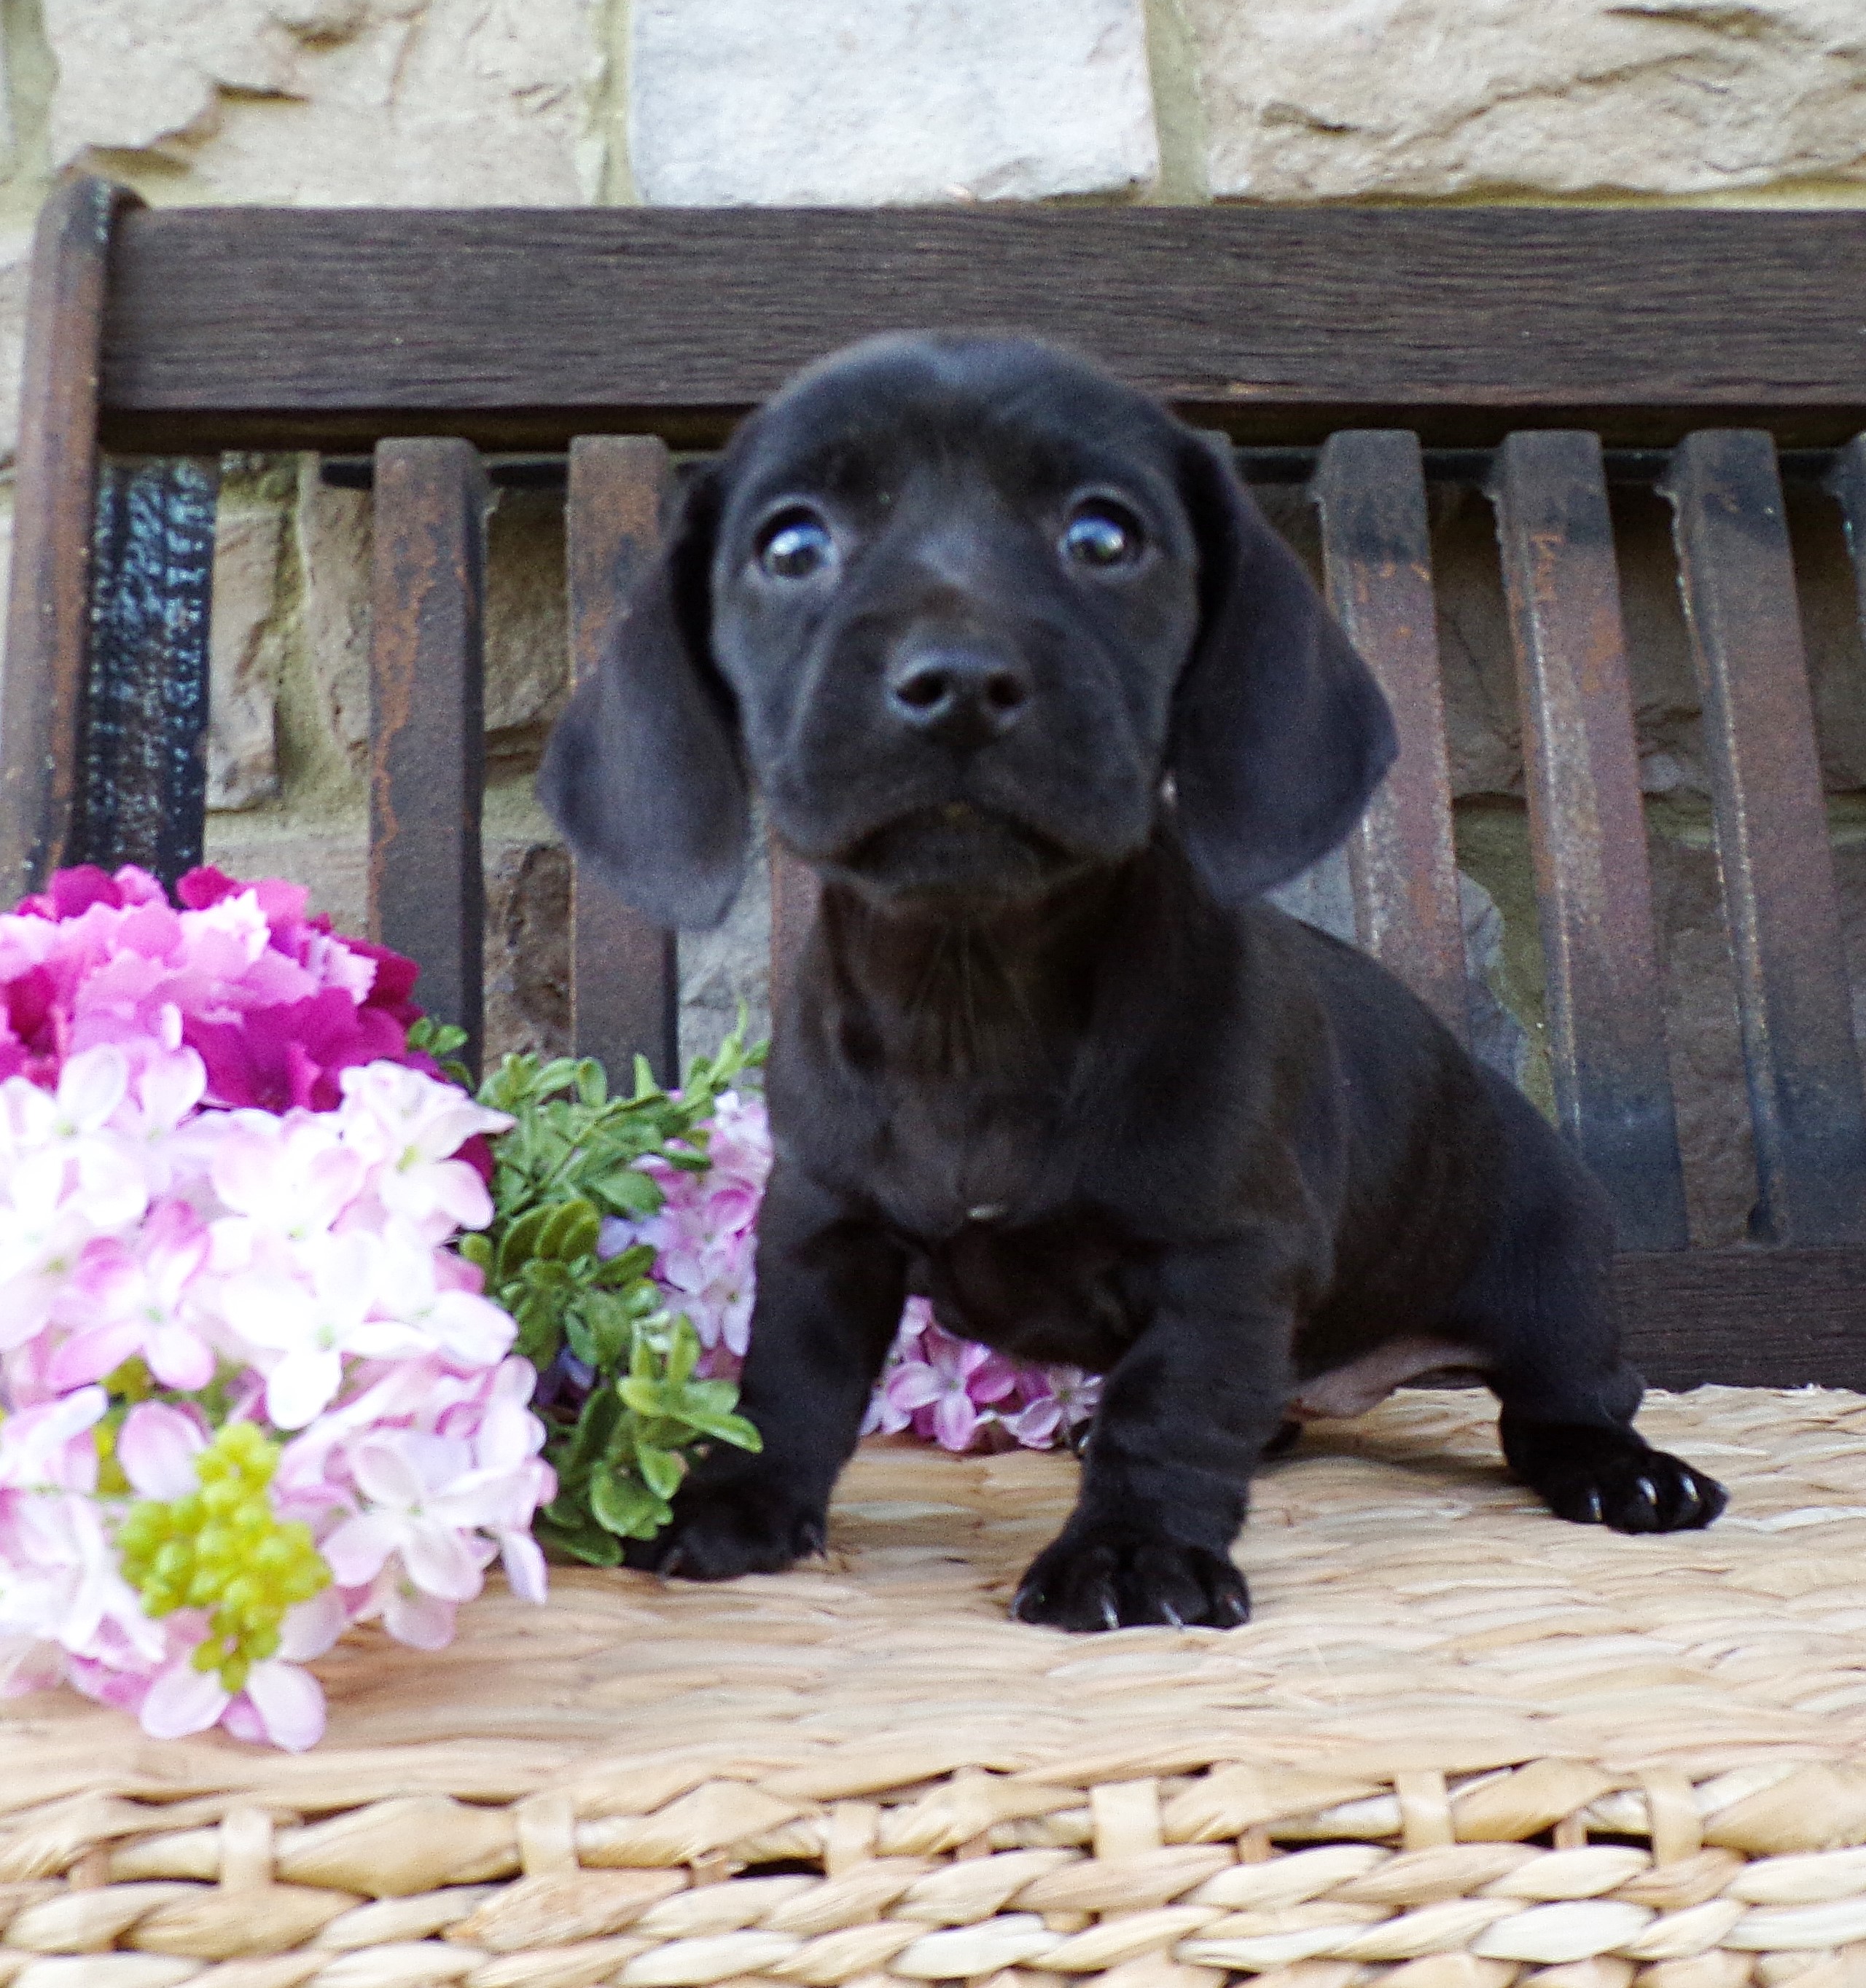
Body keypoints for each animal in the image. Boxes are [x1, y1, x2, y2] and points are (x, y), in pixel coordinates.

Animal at [536, 329, 1719, 1629]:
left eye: (1104, 536)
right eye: (792, 545)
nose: (959, 681)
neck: (970, 997)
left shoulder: (1224, 1261)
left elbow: (1170, 1415)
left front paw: (1132, 1552)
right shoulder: (823, 1227)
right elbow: (788, 1383)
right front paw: (736, 1504)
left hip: (1555, 1288)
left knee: (1564, 1406)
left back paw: (1624, 1473)